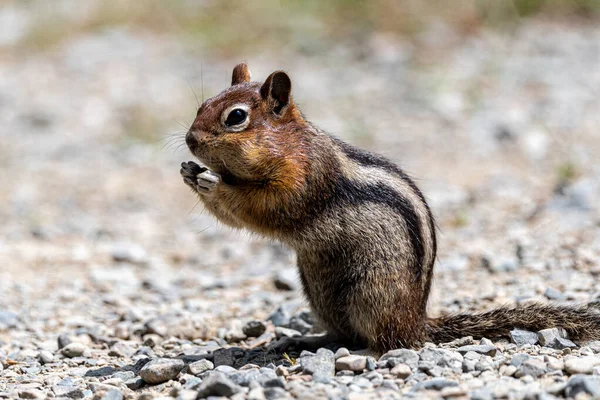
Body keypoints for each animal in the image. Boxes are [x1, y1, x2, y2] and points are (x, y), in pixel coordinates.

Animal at [179, 63, 600, 354]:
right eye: (201, 105)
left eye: (236, 117)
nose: (190, 140)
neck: (292, 145)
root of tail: (418, 321)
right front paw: (189, 172)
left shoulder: (303, 182)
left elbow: (262, 207)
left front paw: (213, 183)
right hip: (319, 292)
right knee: (341, 333)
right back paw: (304, 341)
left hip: (370, 292)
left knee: (390, 341)